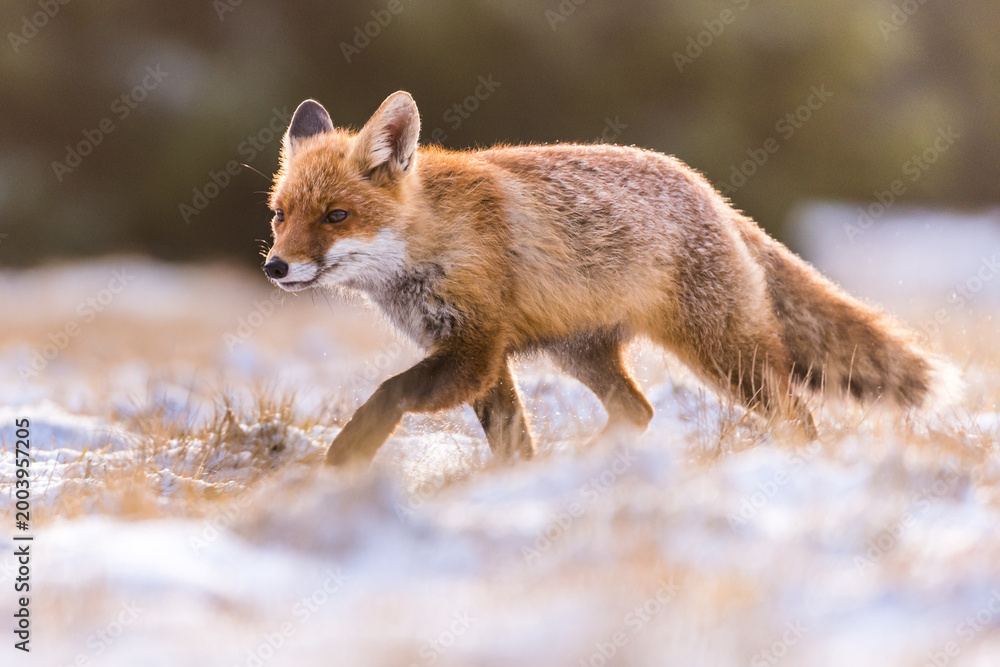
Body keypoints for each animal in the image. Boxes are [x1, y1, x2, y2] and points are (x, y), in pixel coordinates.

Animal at [264, 91, 959, 466]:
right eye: (280, 215)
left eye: (335, 216)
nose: (275, 265)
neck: (431, 240)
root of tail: (713, 194)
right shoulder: (479, 358)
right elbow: (513, 444)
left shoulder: (474, 349)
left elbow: (389, 392)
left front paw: (346, 456)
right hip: (583, 353)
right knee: (640, 410)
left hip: (725, 357)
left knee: (799, 416)